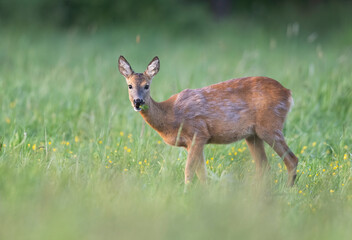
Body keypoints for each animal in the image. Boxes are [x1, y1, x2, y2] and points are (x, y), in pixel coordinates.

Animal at [117, 55, 296, 186]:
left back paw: (289, 191)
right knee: (264, 167)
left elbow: (189, 171)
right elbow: (202, 173)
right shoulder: (193, 142)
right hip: (252, 135)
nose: (138, 102)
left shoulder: (198, 133)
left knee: (291, 160)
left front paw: (186, 194)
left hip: (270, 125)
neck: (171, 115)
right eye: (129, 86)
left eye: (147, 85)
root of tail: (288, 93)